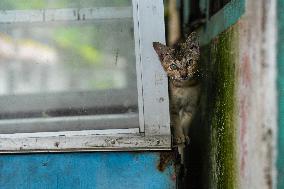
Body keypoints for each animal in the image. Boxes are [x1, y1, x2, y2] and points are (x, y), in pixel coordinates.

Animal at [153, 32, 200, 162]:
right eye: (173, 66)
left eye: (189, 62)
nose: (184, 75)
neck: (184, 87)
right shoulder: (172, 106)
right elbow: (176, 119)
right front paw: (179, 136)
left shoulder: (192, 106)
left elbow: (186, 120)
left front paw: (185, 135)